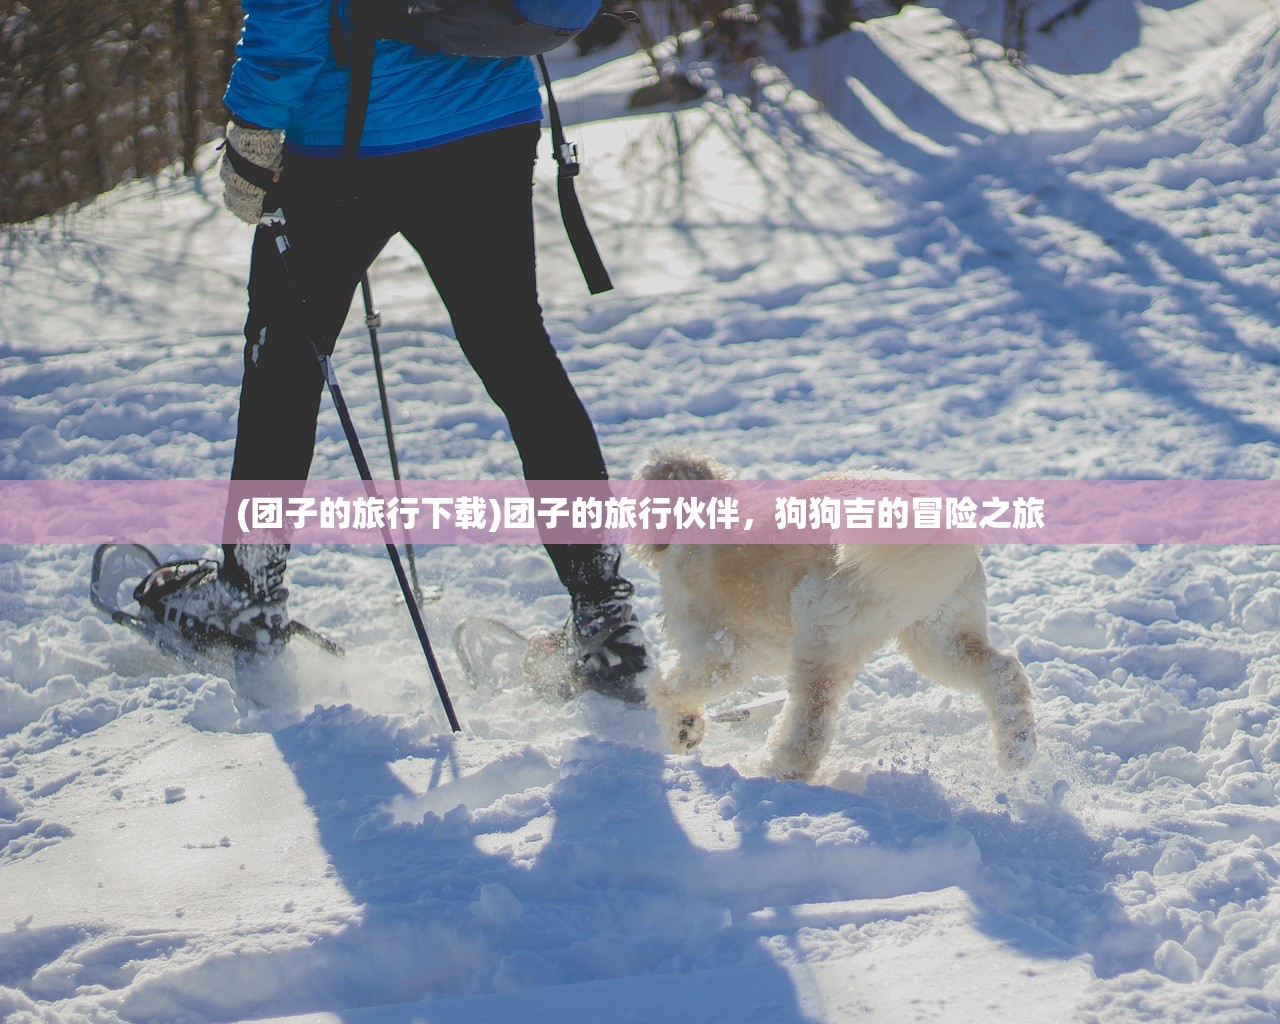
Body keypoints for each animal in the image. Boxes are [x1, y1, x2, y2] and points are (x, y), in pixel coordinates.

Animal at [634, 442, 1034, 778]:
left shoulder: (717, 654)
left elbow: (667, 690)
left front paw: (682, 726)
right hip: (938, 632)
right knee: (1002, 671)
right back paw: (1017, 751)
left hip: (821, 634)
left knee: (811, 724)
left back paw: (771, 770)